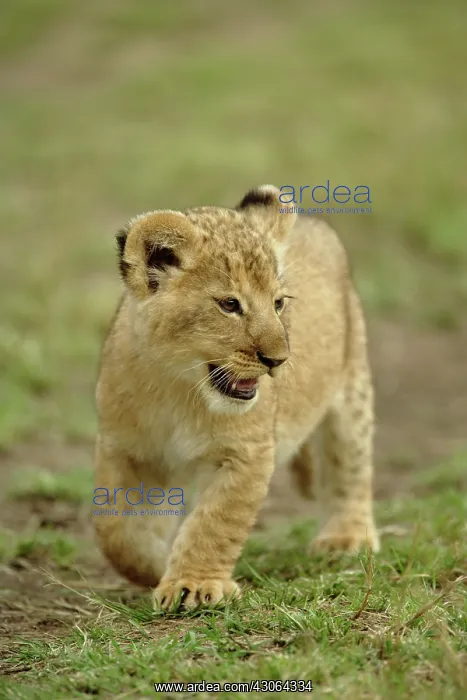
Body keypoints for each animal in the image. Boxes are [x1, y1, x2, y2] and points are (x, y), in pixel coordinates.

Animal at [93, 185, 379, 610]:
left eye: (278, 303)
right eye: (230, 305)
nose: (278, 360)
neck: (179, 389)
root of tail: (315, 222)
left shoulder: (245, 452)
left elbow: (216, 521)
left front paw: (192, 585)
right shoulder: (125, 449)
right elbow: (114, 529)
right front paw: (155, 565)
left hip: (352, 389)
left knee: (350, 468)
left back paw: (346, 538)